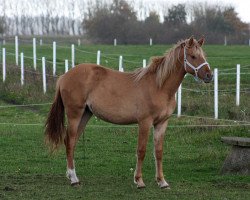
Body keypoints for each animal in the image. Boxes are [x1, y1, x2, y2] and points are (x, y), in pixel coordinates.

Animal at [45, 36, 213, 189]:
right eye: (193, 56)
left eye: (204, 55)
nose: (209, 76)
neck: (159, 87)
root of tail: (64, 76)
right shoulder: (145, 122)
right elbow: (141, 150)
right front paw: (139, 181)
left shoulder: (162, 123)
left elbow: (158, 152)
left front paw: (162, 182)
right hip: (75, 115)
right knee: (70, 141)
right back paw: (73, 179)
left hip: (85, 115)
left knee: (71, 142)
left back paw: (71, 175)